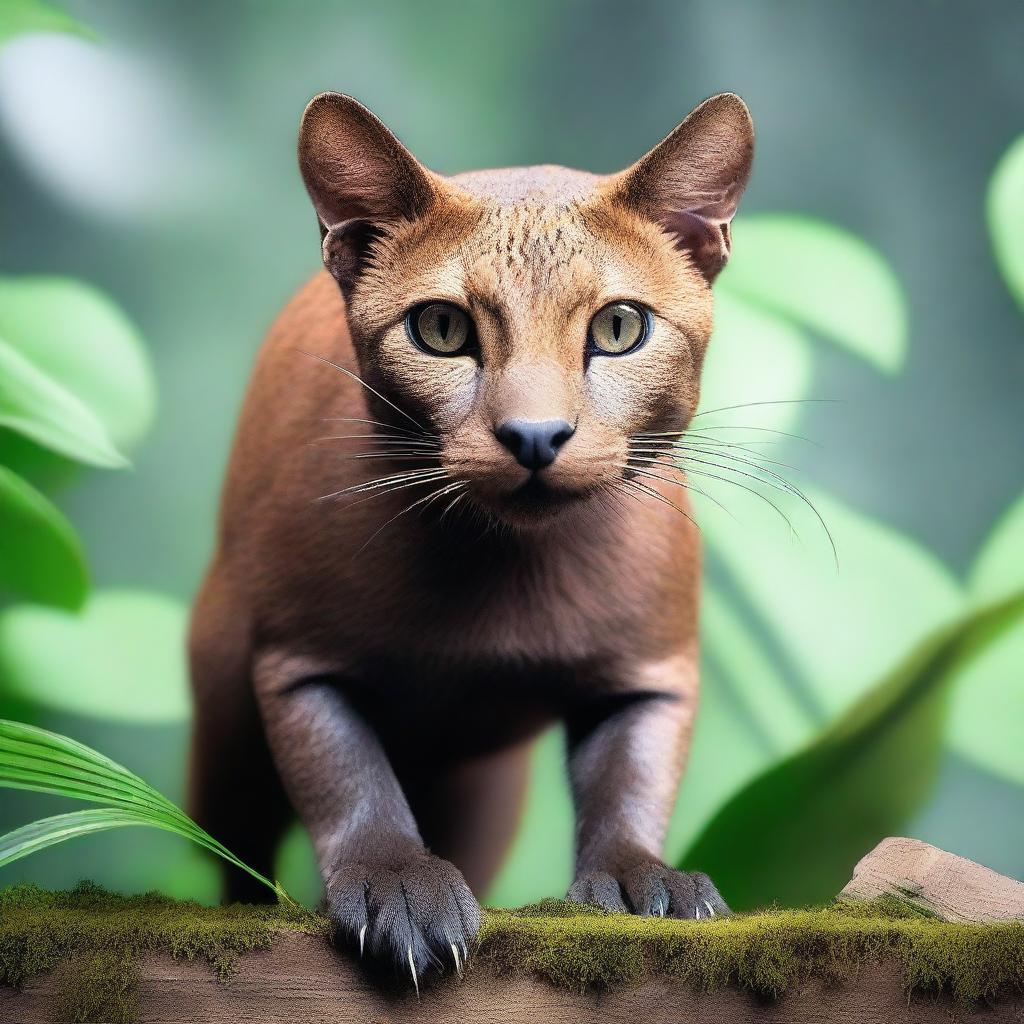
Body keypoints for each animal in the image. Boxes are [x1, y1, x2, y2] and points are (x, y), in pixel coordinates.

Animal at [190, 92, 753, 987]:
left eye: (619, 327)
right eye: (442, 329)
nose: (535, 435)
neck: (504, 573)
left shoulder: (652, 676)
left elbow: (631, 786)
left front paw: (642, 884)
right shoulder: (298, 667)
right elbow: (352, 785)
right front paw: (397, 886)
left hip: (486, 794)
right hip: (224, 720)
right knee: (235, 854)